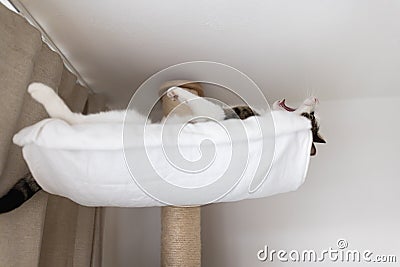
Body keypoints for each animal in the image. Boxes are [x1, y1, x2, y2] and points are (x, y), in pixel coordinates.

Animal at [0, 83, 324, 214]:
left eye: (312, 120)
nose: (316, 99)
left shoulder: (221, 114)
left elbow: (202, 104)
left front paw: (178, 91)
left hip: (118, 120)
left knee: (71, 118)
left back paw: (40, 94)